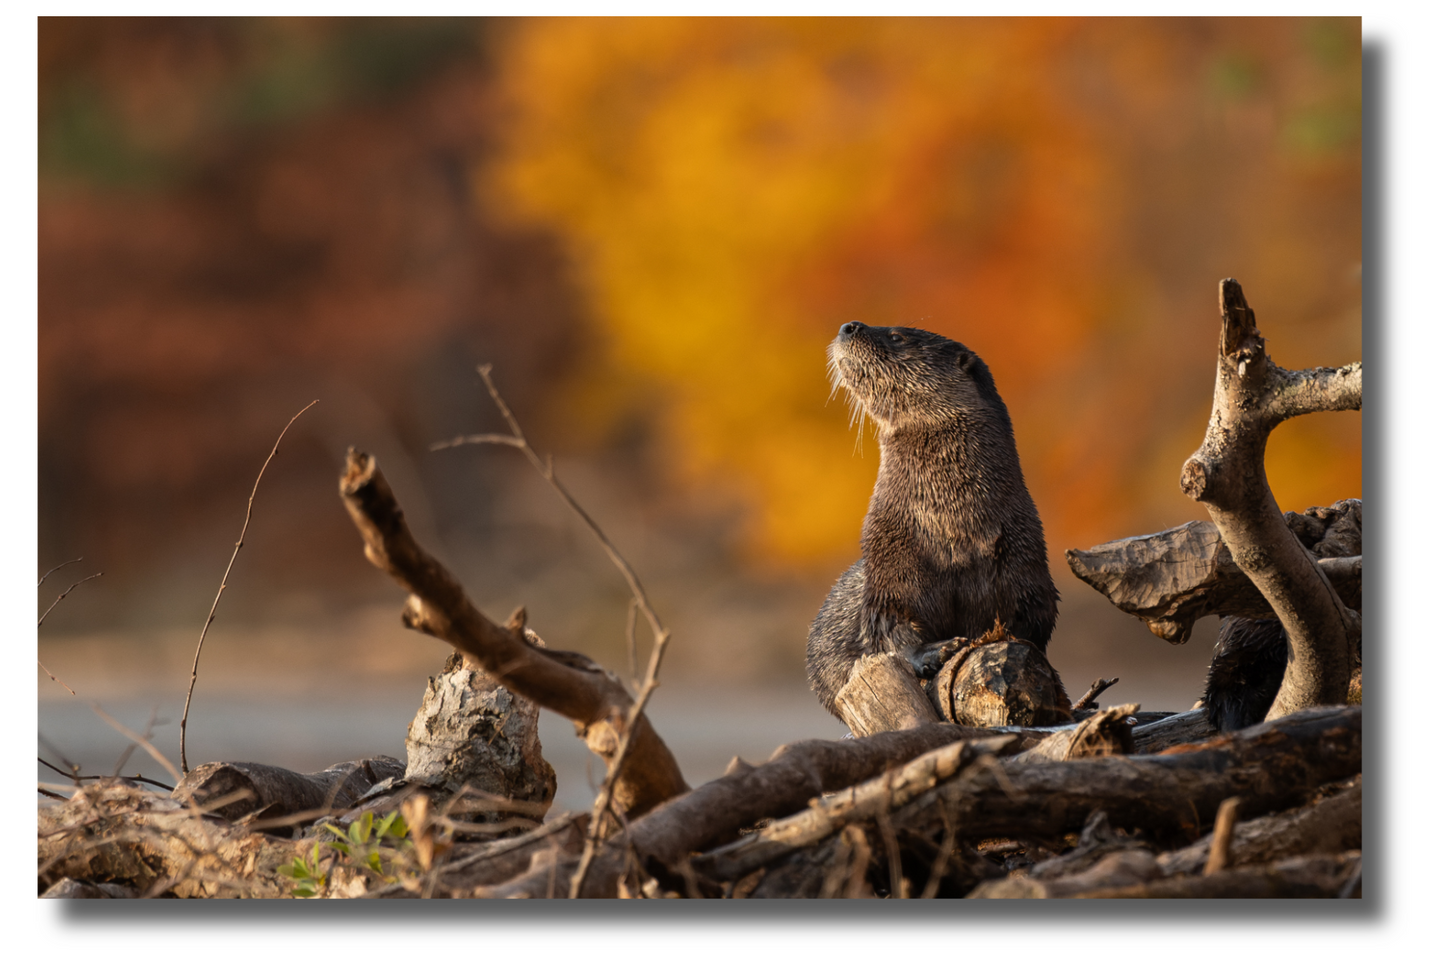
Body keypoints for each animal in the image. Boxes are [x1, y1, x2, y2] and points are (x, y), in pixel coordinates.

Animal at [806, 321, 1059, 721]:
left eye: (897, 336)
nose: (849, 326)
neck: (952, 531)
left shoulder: (1026, 561)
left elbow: (1032, 624)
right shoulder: (891, 560)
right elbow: (889, 626)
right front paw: (932, 652)